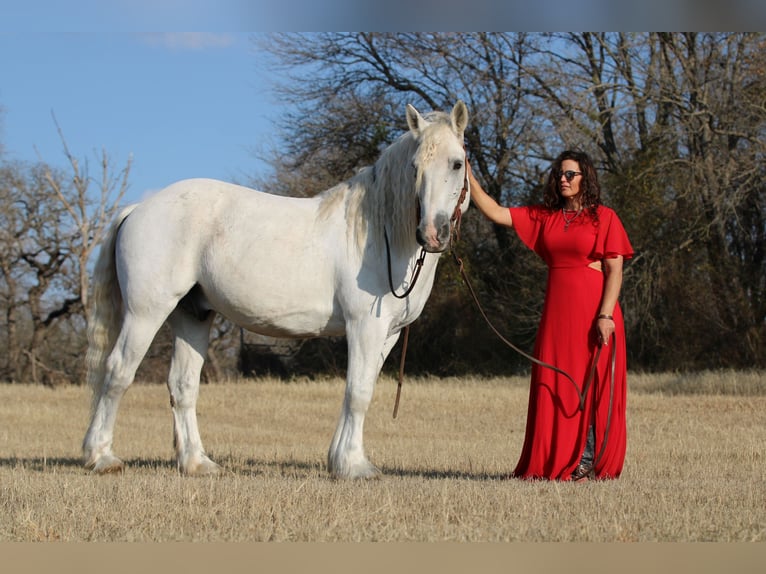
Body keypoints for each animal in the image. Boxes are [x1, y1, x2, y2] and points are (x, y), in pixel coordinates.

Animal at [82, 101, 468, 480]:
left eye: (457, 163)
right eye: (415, 167)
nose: (431, 233)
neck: (379, 232)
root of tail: (138, 209)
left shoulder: (387, 333)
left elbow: (363, 387)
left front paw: (341, 460)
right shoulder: (364, 327)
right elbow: (358, 392)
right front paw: (355, 466)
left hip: (193, 315)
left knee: (182, 384)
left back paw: (197, 462)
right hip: (145, 313)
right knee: (117, 372)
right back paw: (101, 457)